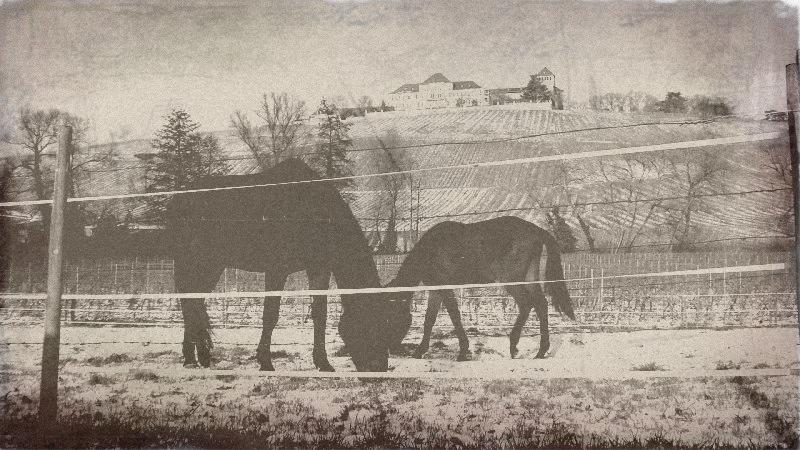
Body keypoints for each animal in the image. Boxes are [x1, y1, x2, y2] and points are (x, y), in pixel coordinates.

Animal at [168, 158, 390, 372]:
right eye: (370, 323)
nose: (379, 368)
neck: (313, 210)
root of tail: (179, 199)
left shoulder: (318, 267)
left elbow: (320, 314)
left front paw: (323, 363)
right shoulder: (277, 270)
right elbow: (271, 315)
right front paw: (265, 361)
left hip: (210, 265)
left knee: (193, 303)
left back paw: (197, 357)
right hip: (196, 262)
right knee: (190, 304)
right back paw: (193, 358)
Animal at [384, 216, 572, 360]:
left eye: (391, 316)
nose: (391, 349)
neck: (431, 249)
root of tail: (536, 230)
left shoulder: (445, 287)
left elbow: (454, 316)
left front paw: (463, 351)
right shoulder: (436, 289)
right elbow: (429, 319)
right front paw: (420, 351)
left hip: (512, 280)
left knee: (526, 305)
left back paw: (514, 345)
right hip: (529, 278)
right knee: (541, 305)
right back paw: (541, 351)